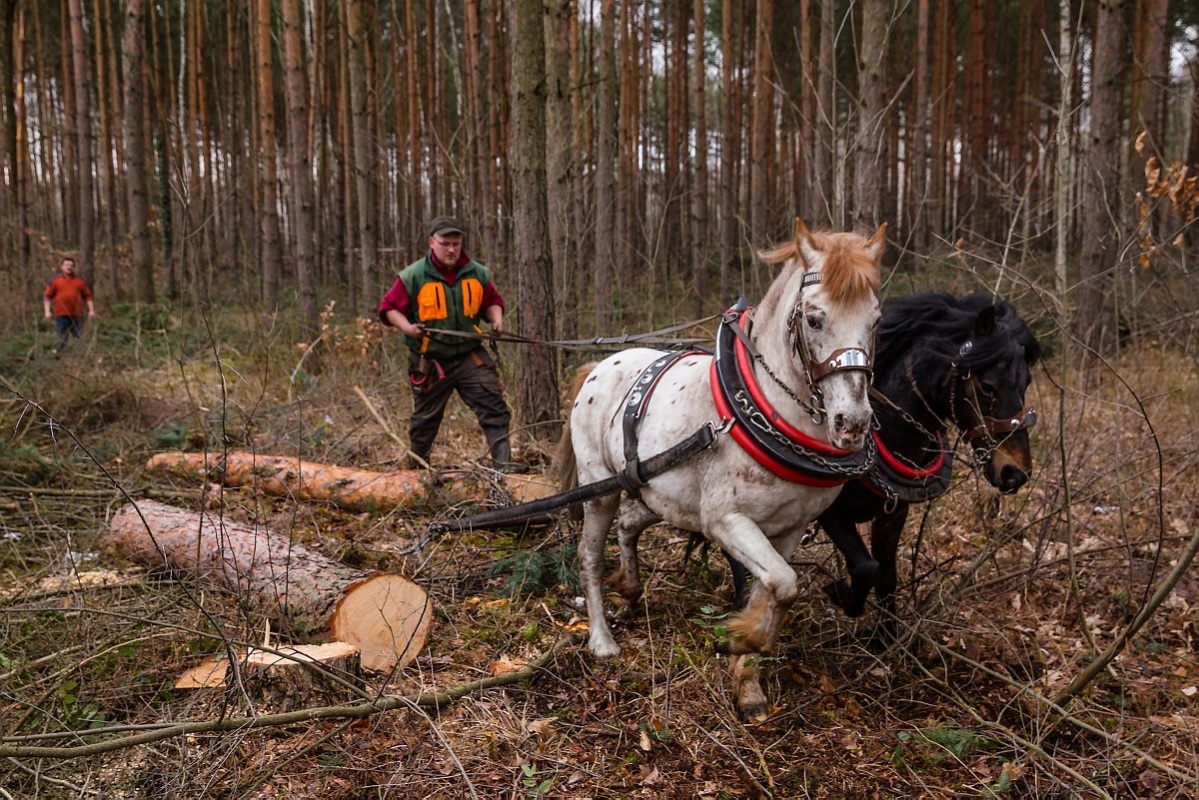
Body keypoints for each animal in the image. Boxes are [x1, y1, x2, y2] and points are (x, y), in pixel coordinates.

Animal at [556, 219, 887, 724]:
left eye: (876, 320)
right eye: (814, 319)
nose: (852, 422)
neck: (767, 412)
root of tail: (601, 364)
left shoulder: (790, 528)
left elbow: (774, 589)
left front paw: (748, 681)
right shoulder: (725, 521)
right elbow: (783, 585)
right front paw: (740, 638)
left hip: (659, 493)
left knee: (631, 523)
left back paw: (630, 590)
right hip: (600, 491)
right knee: (589, 556)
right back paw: (601, 638)